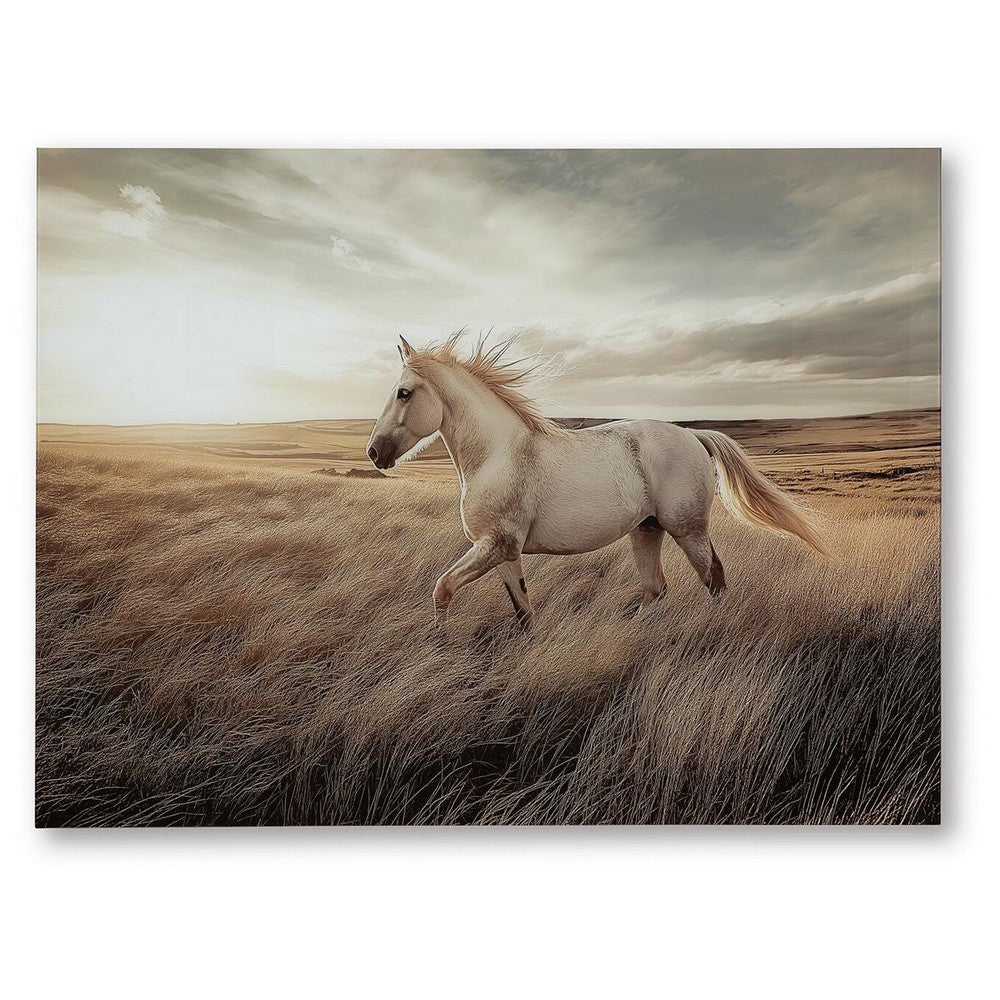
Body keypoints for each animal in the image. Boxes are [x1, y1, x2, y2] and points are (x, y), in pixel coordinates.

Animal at [366, 333, 828, 629]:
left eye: (404, 393)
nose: (374, 453)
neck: (498, 454)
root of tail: (692, 435)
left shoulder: (494, 546)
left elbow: (442, 589)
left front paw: (440, 645)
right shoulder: (504, 551)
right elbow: (523, 612)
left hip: (688, 529)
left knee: (713, 579)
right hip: (647, 530)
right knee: (656, 588)